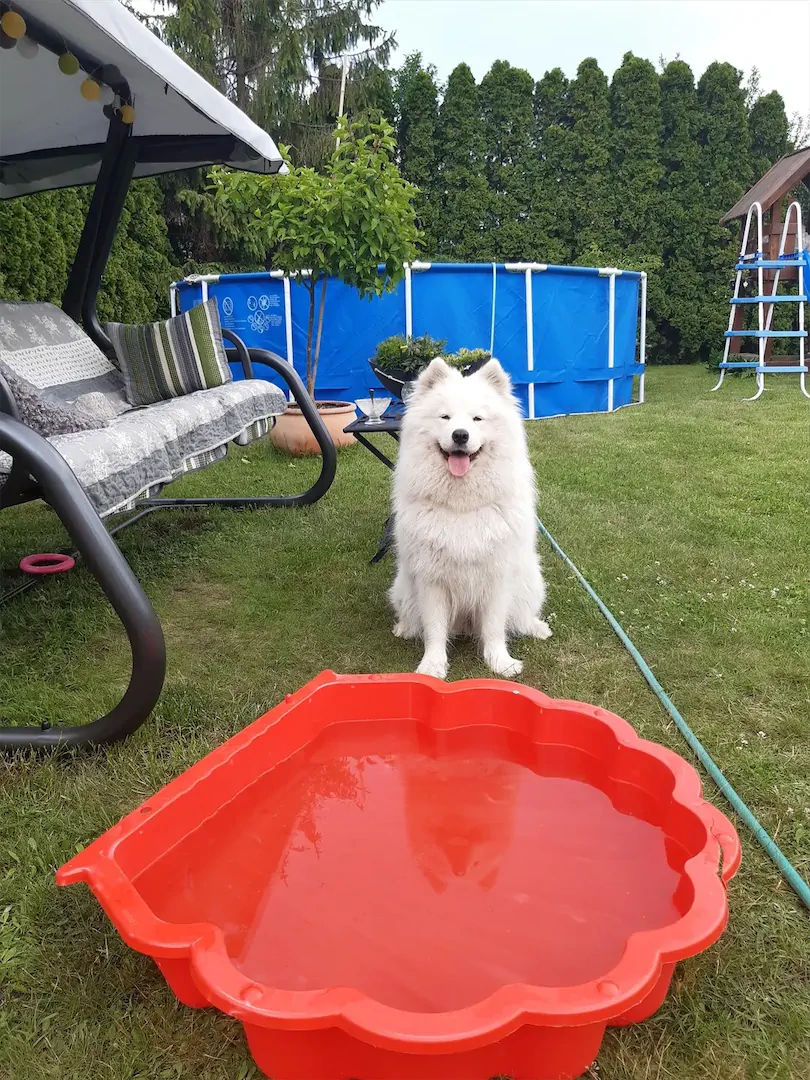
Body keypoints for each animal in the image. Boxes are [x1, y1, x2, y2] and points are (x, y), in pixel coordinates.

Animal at [389, 357, 552, 680]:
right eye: (445, 417)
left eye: (477, 419)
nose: (460, 435)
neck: (461, 507)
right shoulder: (431, 579)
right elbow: (435, 629)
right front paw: (432, 666)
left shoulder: (497, 576)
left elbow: (494, 628)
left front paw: (501, 663)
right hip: (403, 587)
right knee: (415, 620)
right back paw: (403, 629)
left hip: (531, 581)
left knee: (522, 617)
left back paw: (537, 628)